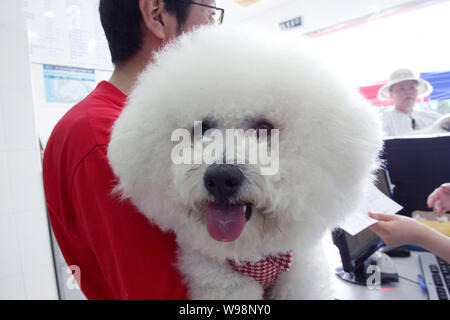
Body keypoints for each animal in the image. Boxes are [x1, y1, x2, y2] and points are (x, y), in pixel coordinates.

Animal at [107, 26, 382, 298]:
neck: (251, 254)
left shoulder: (301, 276)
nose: (220, 178)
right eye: (203, 128)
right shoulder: (221, 284)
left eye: (264, 127)